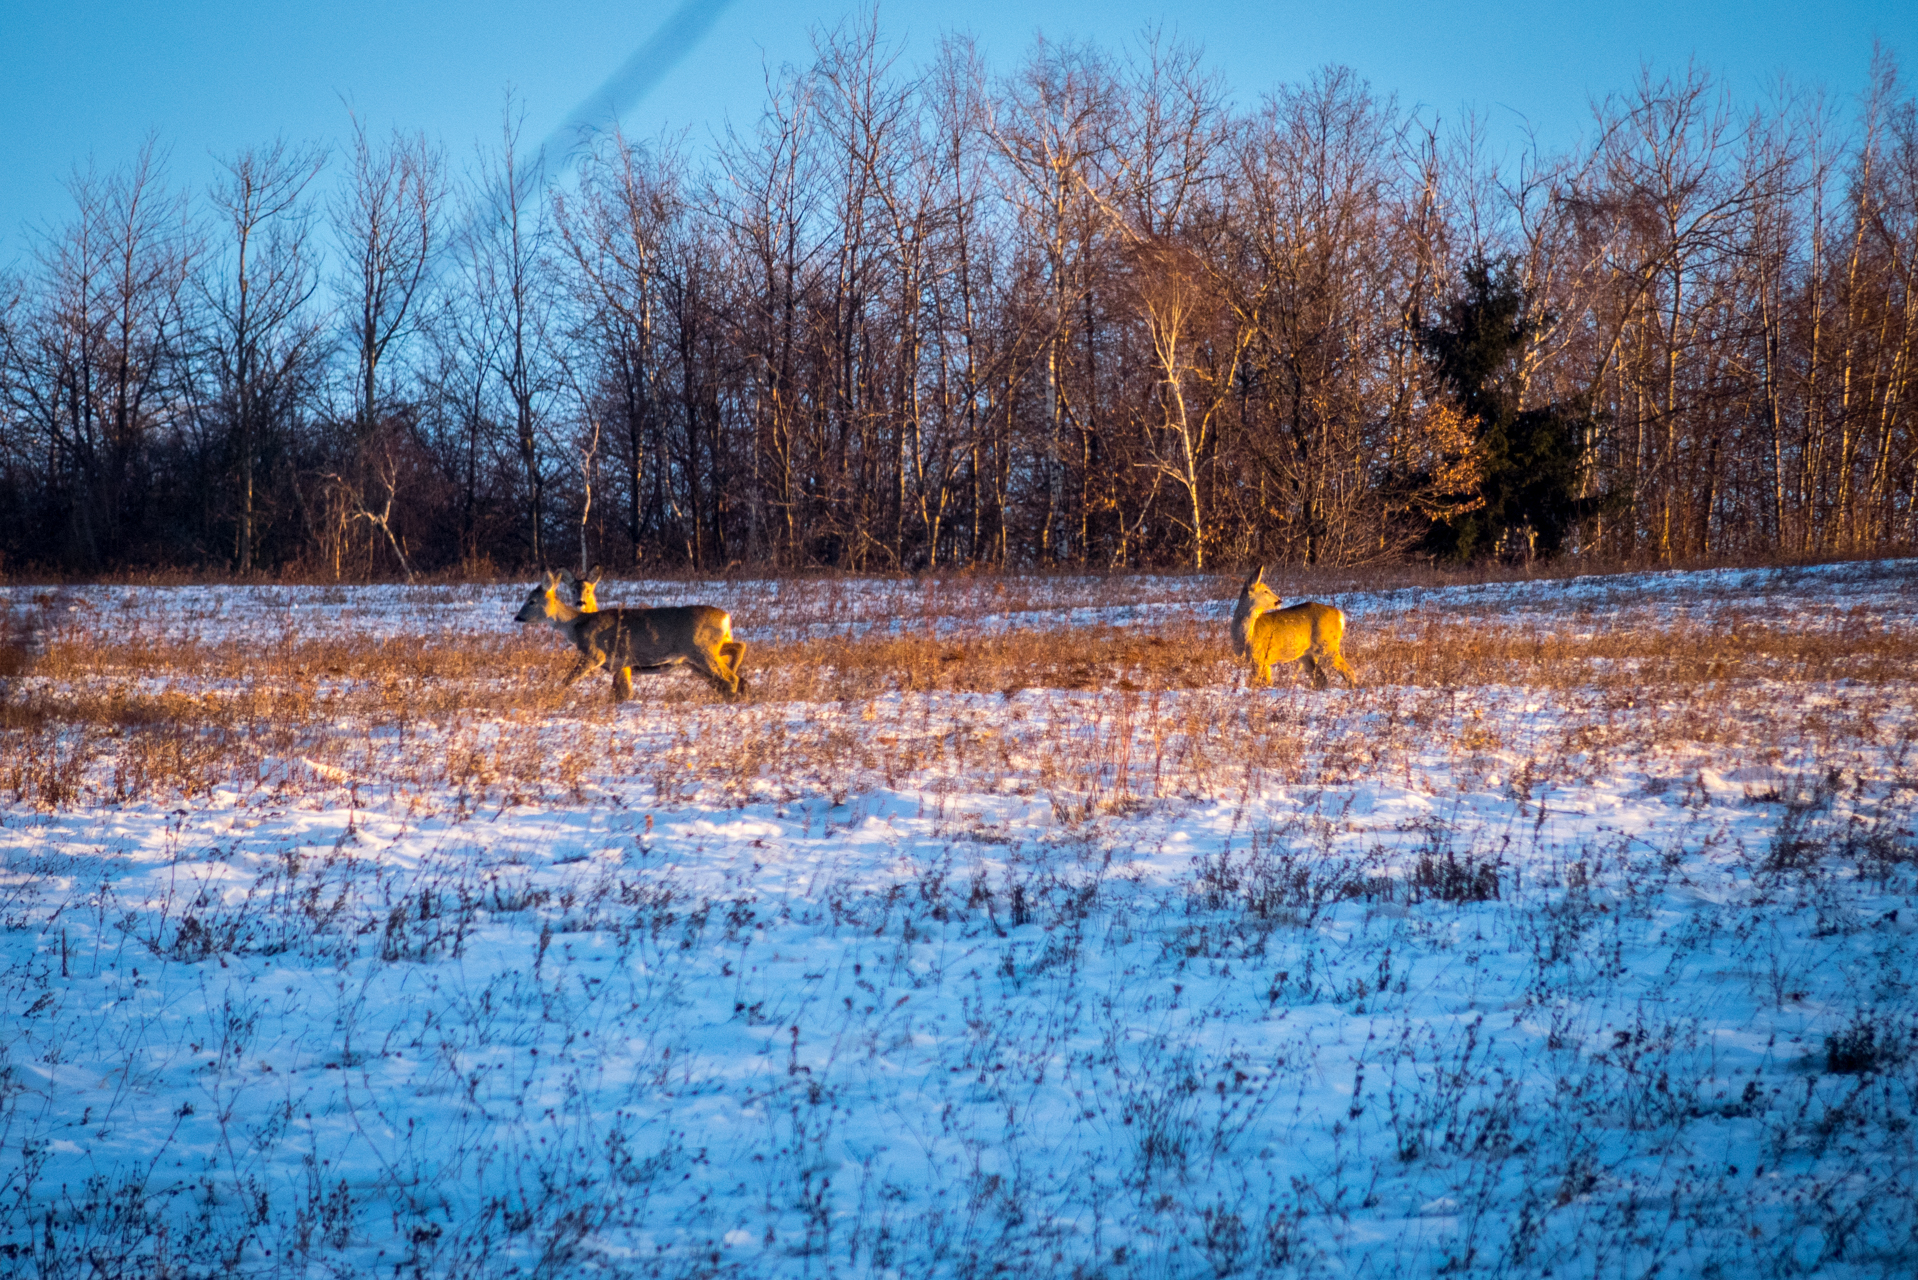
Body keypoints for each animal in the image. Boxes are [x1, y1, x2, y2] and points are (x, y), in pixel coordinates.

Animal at [514, 571, 751, 706]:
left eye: (532, 600)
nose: (517, 617)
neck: (576, 625)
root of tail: (726, 617)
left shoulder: (596, 653)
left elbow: (568, 680)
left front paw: (551, 697)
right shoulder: (620, 663)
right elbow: (622, 692)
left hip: (701, 650)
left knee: (730, 678)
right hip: (709, 649)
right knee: (738, 648)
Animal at [1227, 568, 1365, 690]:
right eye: (1265, 591)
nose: (1279, 601)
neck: (1245, 634)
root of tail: (1339, 614)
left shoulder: (1259, 655)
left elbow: (1254, 682)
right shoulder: (1262, 660)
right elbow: (1266, 682)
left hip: (1327, 646)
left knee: (1347, 670)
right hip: (1306, 654)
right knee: (1321, 678)